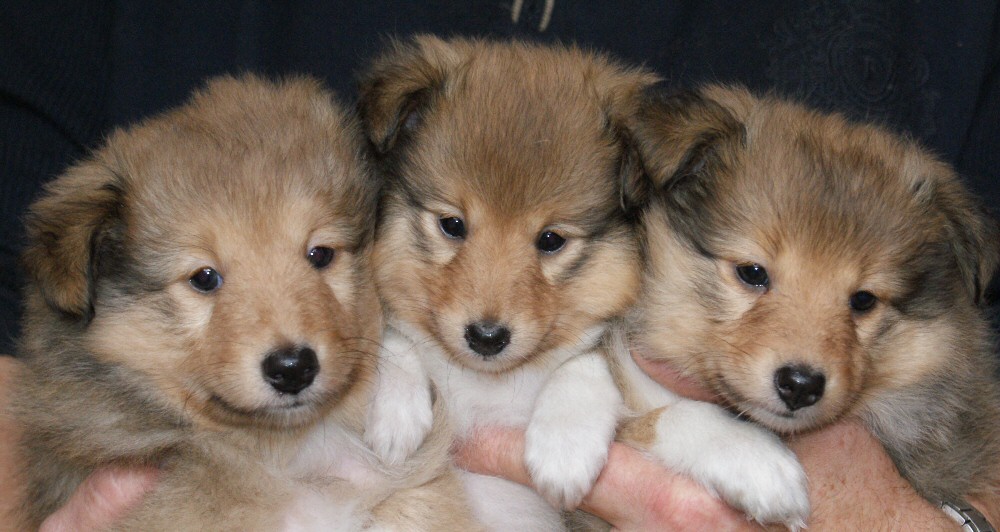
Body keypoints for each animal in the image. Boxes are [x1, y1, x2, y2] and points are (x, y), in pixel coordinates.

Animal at [357, 36, 810, 530]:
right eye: (452, 224)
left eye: (551, 240)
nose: (486, 338)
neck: (488, 386)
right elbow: (392, 332)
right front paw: (395, 412)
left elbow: (625, 386)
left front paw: (565, 444)